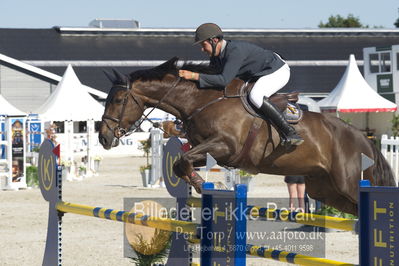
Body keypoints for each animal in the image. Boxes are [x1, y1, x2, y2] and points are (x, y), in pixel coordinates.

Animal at [100, 57, 396, 215]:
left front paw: (203, 185)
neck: (201, 100)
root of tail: (363, 139)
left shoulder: (225, 146)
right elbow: (180, 162)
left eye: (118, 100)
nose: (104, 138)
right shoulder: (210, 151)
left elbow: (183, 161)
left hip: (349, 184)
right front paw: (201, 184)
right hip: (326, 190)